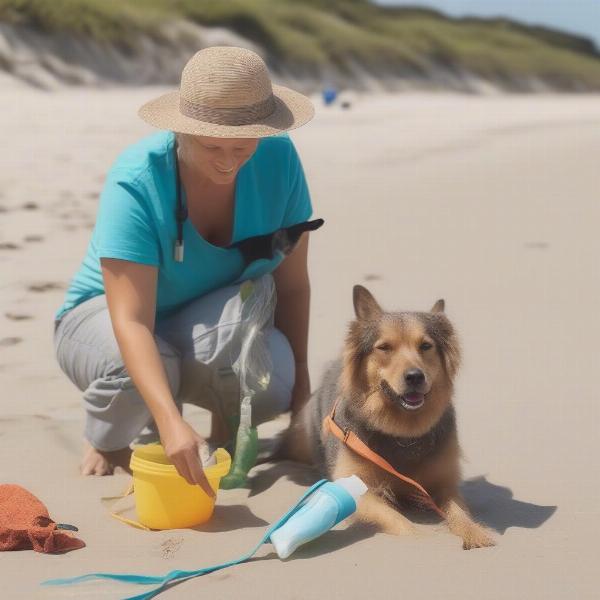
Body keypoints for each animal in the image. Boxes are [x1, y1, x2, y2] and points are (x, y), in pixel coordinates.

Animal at [284, 284, 494, 548]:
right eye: (384, 347)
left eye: (426, 346)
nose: (415, 377)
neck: (402, 433)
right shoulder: (357, 489)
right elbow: (399, 522)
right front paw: (420, 538)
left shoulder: (445, 485)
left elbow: (459, 512)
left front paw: (475, 534)